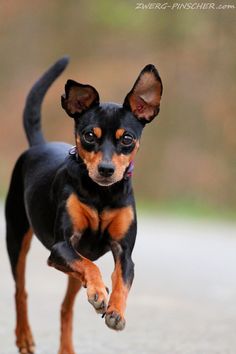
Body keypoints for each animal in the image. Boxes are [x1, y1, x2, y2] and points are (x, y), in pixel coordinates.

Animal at [5, 56, 163, 352]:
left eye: (127, 139)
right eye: (89, 135)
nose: (106, 170)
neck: (102, 194)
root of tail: (39, 145)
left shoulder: (123, 252)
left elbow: (121, 280)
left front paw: (115, 311)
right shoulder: (61, 247)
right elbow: (92, 268)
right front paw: (101, 293)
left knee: (66, 306)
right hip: (17, 238)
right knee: (21, 290)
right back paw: (24, 337)